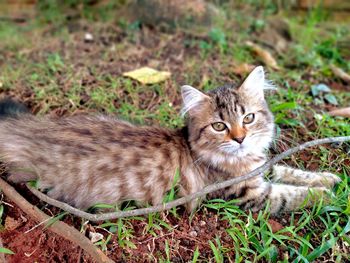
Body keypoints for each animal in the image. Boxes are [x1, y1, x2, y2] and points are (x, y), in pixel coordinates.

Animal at [0, 66, 340, 214]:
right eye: (219, 126)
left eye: (248, 119)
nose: (240, 139)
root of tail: (35, 130)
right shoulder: (248, 194)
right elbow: (291, 194)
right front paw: (327, 195)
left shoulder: (263, 168)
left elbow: (293, 172)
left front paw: (330, 179)